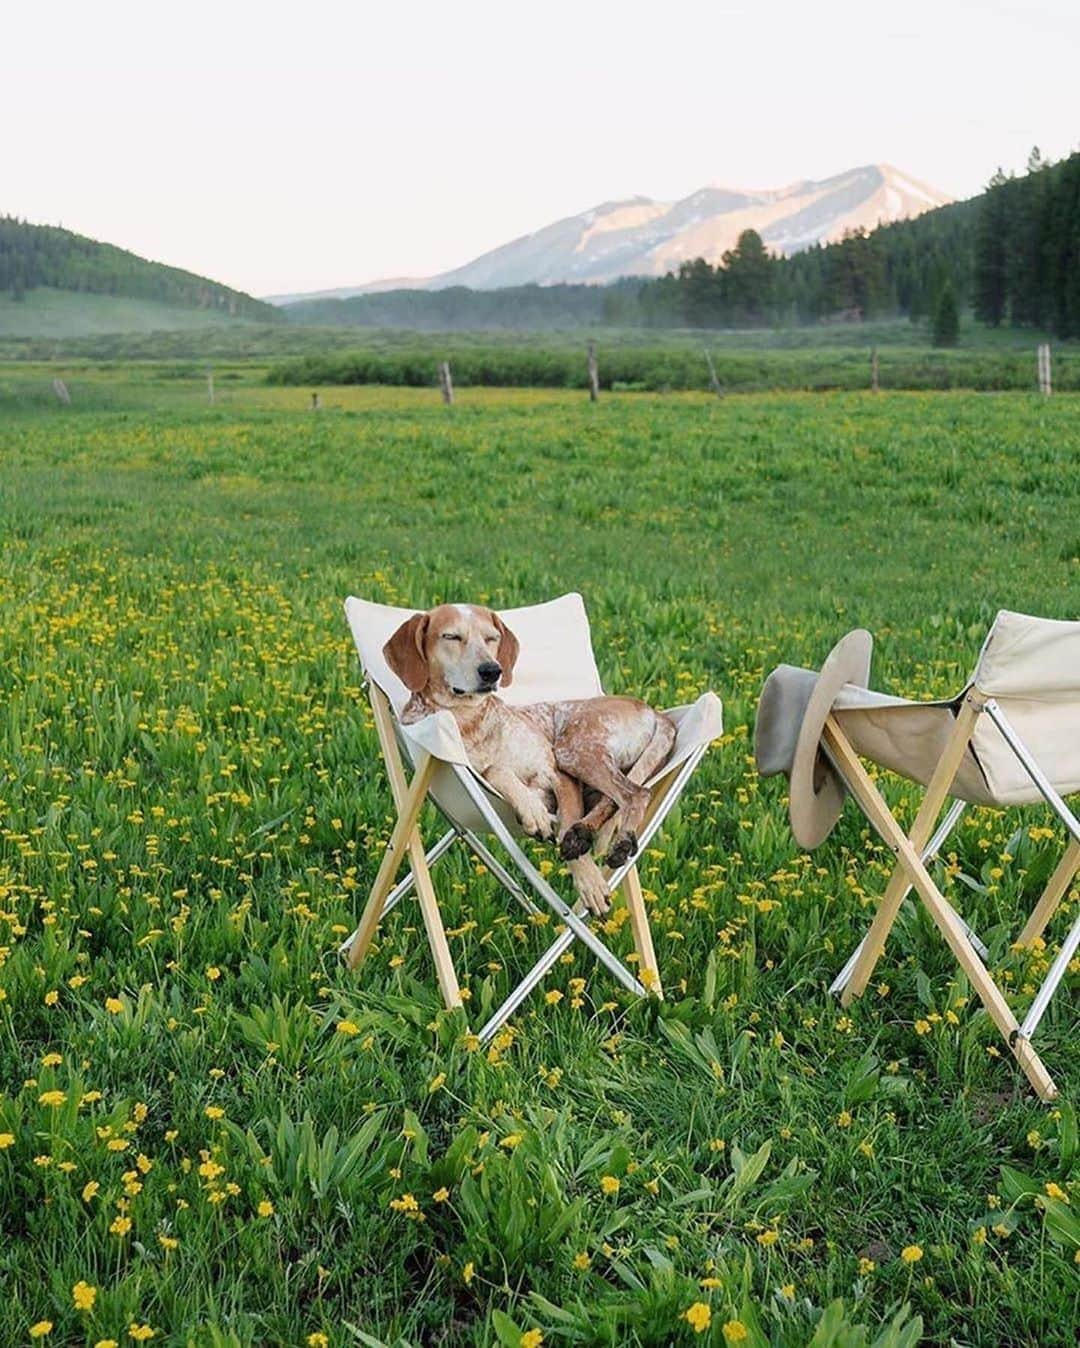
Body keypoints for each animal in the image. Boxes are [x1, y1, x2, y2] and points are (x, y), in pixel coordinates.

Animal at [382, 603, 674, 911]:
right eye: (451, 636)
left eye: (492, 638)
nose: (492, 671)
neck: (469, 720)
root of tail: (655, 712)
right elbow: (499, 773)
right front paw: (533, 811)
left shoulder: (559, 775)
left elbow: (563, 820)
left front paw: (589, 881)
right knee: (617, 799)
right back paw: (587, 832)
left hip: (573, 751)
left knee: (634, 794)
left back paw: (615, 839)